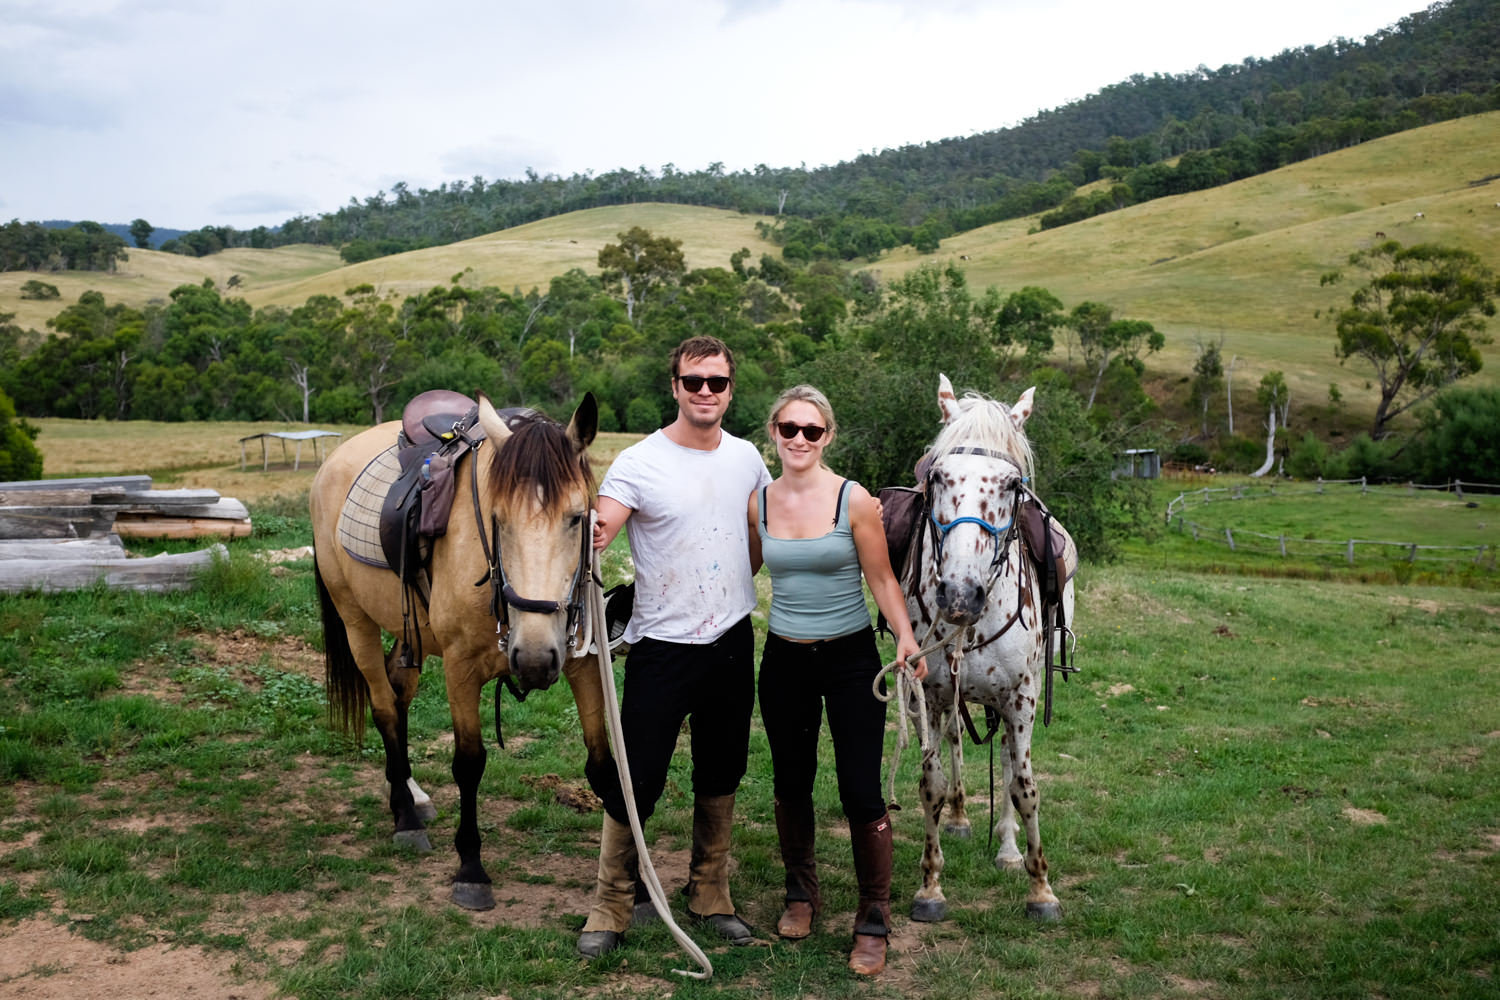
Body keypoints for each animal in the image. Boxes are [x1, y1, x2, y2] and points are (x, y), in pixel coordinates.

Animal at [900, 379, 1080, 929]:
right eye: (937, 476)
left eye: (1011, 484)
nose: (960, 594)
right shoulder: (933, 693)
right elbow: (932, 784)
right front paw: (930, 886)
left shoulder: (1020, 698)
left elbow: (1023, 787)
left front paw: (1041, 889)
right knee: (957, 741)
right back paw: (961, 818)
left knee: (1002, 756)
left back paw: (1006, 848)